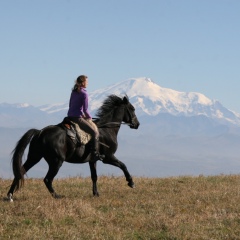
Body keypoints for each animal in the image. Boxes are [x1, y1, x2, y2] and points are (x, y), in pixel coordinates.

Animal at [7, 94, 139, 202]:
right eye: (132, 108)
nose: (137, 124)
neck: (107, 130)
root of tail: (40, 132)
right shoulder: (108, 157)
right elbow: (123, 165)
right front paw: (131, 182)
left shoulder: (93, 160)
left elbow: (94, 176)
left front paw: (96, 193)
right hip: (56, 161)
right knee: (47, 179)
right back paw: (57, 196)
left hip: (34, 157)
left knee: (20, 172)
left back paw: (10, 196)